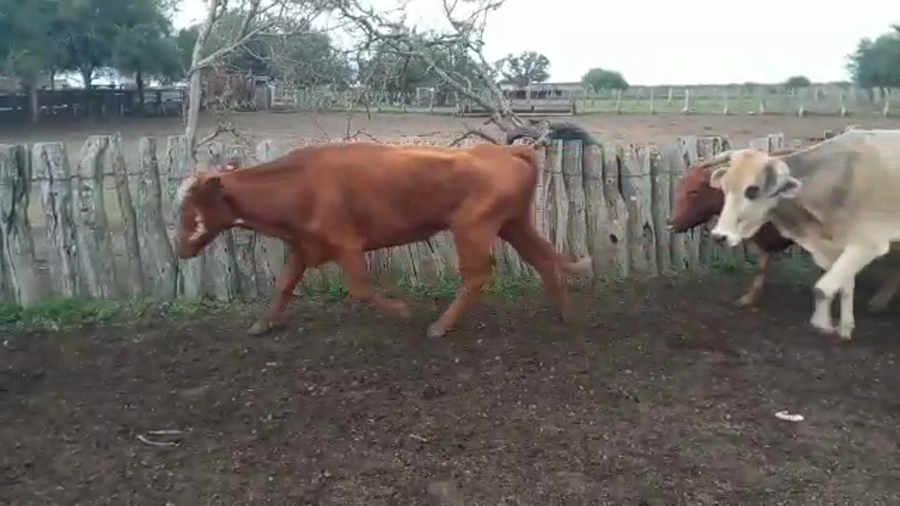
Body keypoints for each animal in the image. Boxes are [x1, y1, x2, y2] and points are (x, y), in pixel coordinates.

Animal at [172, 141, 593, 338]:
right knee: (543, 258)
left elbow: (360, 289)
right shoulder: (303, 247)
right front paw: (263, 324)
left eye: (189, 208)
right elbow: (283, 286)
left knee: (477, 277)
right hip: (514, 224)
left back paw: (440, 326)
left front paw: (402, 311)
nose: (180, 248)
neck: (297, 183)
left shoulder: (346, 245)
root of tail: (505, 149)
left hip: (472, 230)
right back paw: (567, 314)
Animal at [707, 128, 900, 340]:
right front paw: (845, 329)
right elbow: (845, 287)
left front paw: (823, 325)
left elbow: (823, 288)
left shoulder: (867, 244)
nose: (719, 235)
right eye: (725, 187)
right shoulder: (837, 248)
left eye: (752, 190)